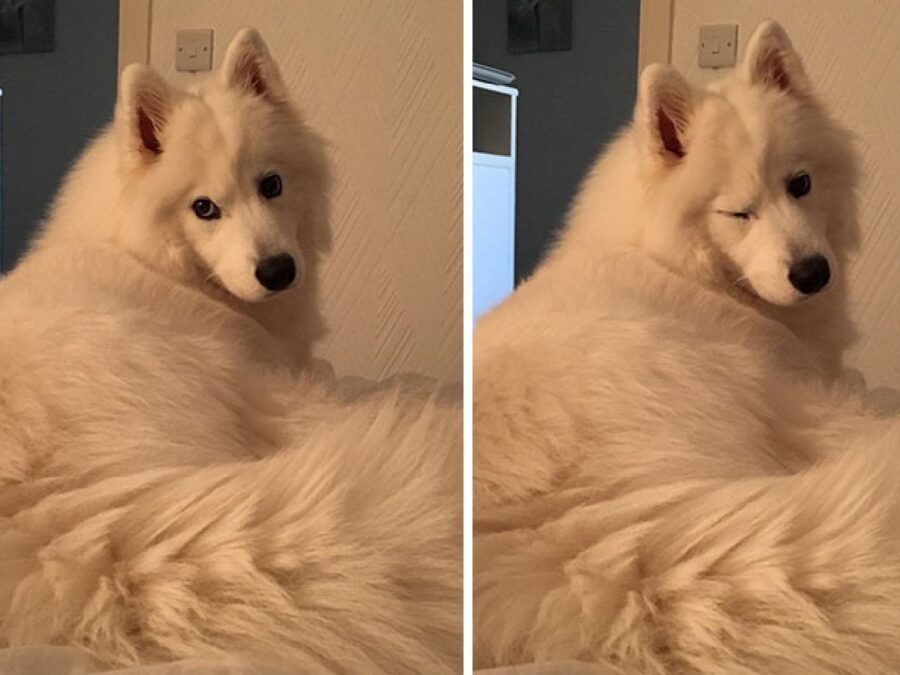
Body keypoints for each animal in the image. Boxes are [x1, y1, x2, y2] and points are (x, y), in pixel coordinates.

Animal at [474, 21, 896, 675]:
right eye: (738, 213)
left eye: (800, 184)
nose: (813, 274)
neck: (680, 263)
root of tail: (569, 537)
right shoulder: (804, 386)